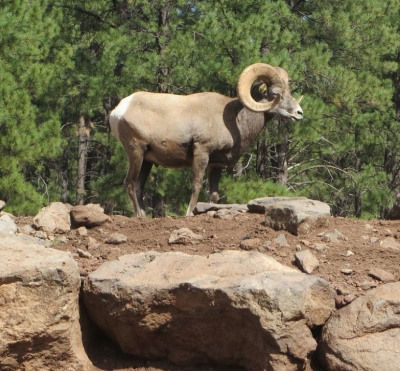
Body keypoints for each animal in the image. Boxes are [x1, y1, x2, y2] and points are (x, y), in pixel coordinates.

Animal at [109, 62, 304, 217]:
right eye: (276, 93)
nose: (299, 113)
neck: (235, 120)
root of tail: (118, 111)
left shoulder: (216, 165)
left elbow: (214, 195)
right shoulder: (202, 152)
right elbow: (196, 185)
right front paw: (189, 214)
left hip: (147, 161)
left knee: (138, 187)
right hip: (136, 152)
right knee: (130, 184)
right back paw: (139, 217)